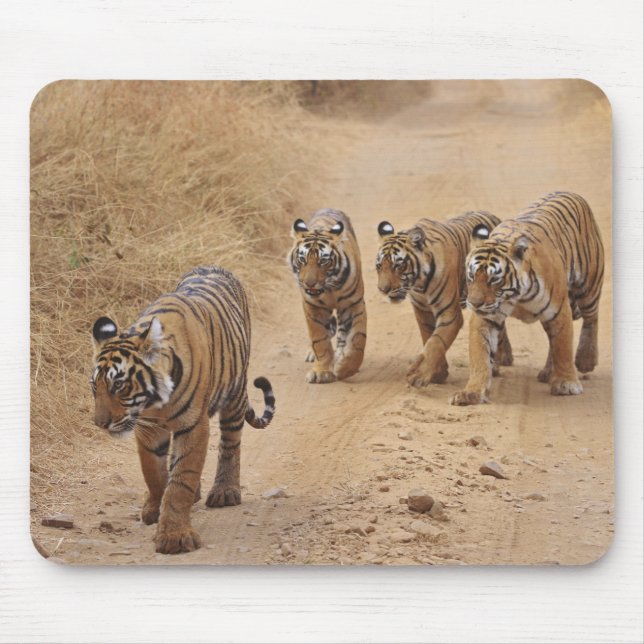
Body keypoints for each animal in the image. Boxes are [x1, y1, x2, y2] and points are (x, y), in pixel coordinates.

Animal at [90, 266, 275, 554]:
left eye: (118, 385)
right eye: (94, 387)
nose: (100, 423)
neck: (155, 401)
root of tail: (214, 266)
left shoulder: (193, 425)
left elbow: (181, 481)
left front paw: (174, 537)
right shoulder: (148, 429)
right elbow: (154, 474)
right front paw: (154, 508)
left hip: (234, 394)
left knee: (230, 444)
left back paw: (225, 491)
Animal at [289, 208, 367, 383]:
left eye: (323, 261)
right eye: (302, 259)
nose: (309, 283)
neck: (329, 288)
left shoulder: (353, 304)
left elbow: (358, 339)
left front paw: (345, 368)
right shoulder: (313, 307)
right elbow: (319, 341)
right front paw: (322, 372)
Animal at [376, 211, 513, 387]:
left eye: (398, 266)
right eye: (379, 266)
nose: (383, 290)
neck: (419, 284)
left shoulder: (450, 314)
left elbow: (436, 342)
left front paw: (420, 375)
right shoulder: (422, 311)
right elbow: (428, 337)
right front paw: (438, 374)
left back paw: (496, 364)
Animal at [450, 191, 604, 406]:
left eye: (493, 279)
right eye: (471, 276)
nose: (474, 303)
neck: (516, 296)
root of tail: (570, 193)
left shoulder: (559, 310)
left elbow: (563, 347)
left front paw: (566, 383)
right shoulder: (486, 317)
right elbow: (480, 355)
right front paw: (471, 392)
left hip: (589, 284)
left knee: (592, 318)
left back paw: (585, 360)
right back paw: (548, 372)